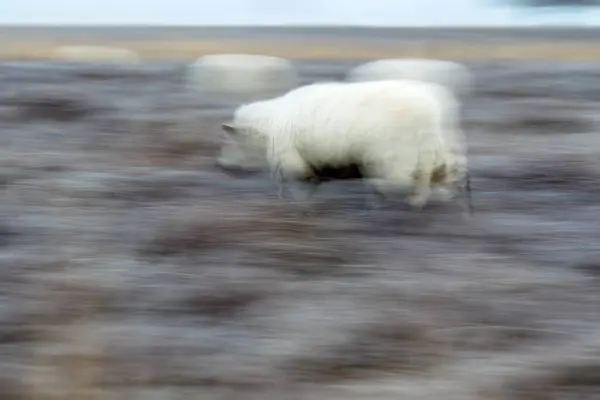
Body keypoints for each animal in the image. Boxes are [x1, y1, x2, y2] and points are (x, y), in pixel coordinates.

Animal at [216, 77, 474, 212]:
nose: (222, 166)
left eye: (229, 138)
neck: (269, 125)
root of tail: (433, 106)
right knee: (441, 170)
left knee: (407, 179)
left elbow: (299, 187)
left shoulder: (292, 160)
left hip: (396, 154)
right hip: (430, 147)